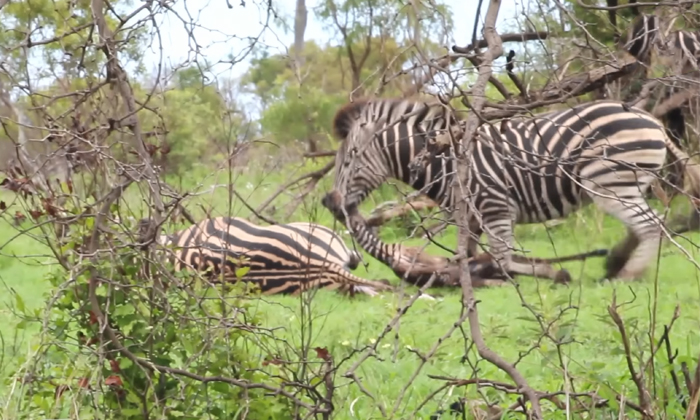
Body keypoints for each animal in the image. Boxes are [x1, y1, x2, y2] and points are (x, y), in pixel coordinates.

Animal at [322, 97, 700, 284]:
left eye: (349, 159)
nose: (330, 202)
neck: (444, 162)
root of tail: (651, 120)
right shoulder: (471, 218)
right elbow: (470, 257)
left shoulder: (495, 208)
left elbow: (500, 261)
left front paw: (553, 273)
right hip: (626, 184)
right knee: (648, 225)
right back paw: (616, 262)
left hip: (608, 182)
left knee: (650, 226)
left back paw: (628, 274)